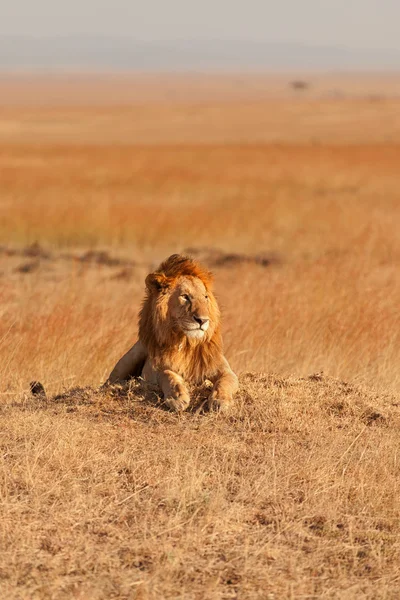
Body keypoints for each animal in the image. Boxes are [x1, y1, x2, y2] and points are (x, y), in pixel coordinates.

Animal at [105, 253, 238, 412]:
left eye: (205, 297)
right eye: (185, 296)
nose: (203, 320)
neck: (187, 343)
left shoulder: (225, 369)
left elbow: (225, 381)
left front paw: (221, 400)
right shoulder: (154, 370)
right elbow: (167, 374)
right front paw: (177, 397)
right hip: (132, 356)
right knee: (109, 383)